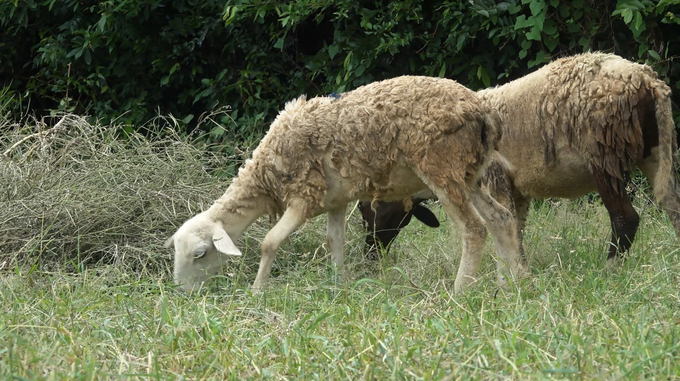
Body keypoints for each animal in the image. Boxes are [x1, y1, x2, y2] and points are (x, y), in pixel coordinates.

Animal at [165, 75, 524, 292]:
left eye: (200, 254)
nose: (182, 293)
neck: (265, 176)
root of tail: (483, 112)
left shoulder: (304, 195)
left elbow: (270, 241)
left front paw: (256, 291)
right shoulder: (334, 201)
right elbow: (333, 243)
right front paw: (339, 286)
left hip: (441, 166)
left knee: (474, 228)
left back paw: (461, 290)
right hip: (470, 173)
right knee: (501, 219)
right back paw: (511, 284)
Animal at [358, 52, 676, 290]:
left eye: (368, 209)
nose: (369, 256)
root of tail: (646, 80)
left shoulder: (494, 180)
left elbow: (504, 228)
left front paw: (508, 280)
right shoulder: (516, 190)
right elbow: (516, 231)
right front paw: (518, 276)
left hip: (604, 153)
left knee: (625, 218)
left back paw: (608, 271)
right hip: (654, 150)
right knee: (673, 206)